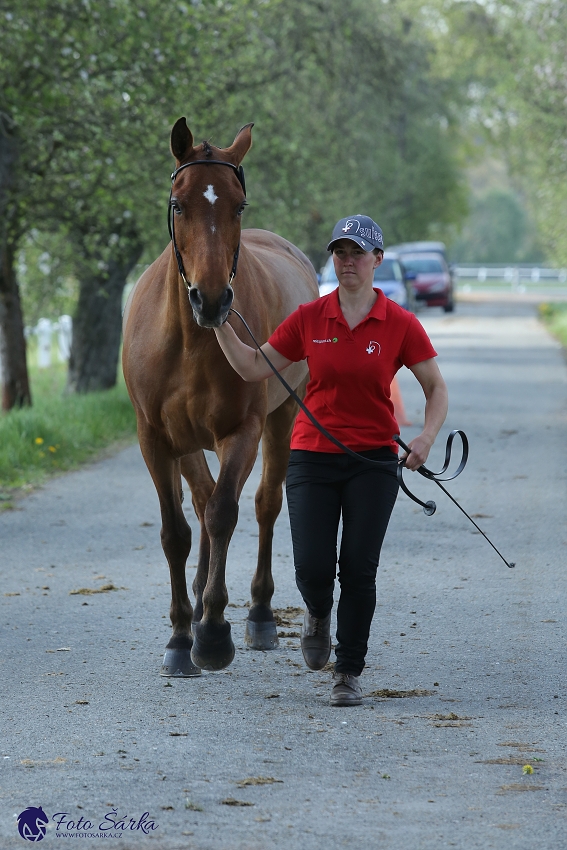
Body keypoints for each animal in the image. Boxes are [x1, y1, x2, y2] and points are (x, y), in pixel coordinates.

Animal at [121, 117, 320, 676]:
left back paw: (257, 614)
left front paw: (211, 633)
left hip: (280, 419)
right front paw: (179, 636)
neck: (190, 341)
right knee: (201, 500)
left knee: (263, 504)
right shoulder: (156, 438)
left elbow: (225, 512)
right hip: (188, 442)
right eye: (178, 204)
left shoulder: (242, 431)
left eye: (239, 205)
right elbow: (177, 532)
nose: (211, 300)